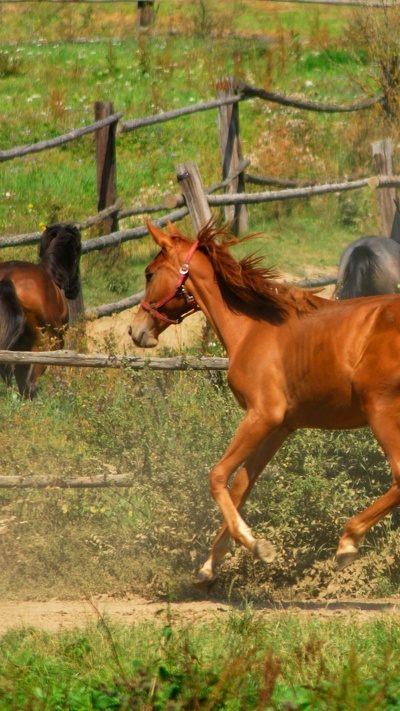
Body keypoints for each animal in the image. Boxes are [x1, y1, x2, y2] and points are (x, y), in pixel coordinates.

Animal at [129, 220, 400, 588]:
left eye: (149, 273)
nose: (135, 330)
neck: (253, 329)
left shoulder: (261, 417)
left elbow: (217, 476)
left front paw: (256, 545)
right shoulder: (280, 427)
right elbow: (241, 485)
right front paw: (209, 566)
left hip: (382, 412)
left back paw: (347, 543)